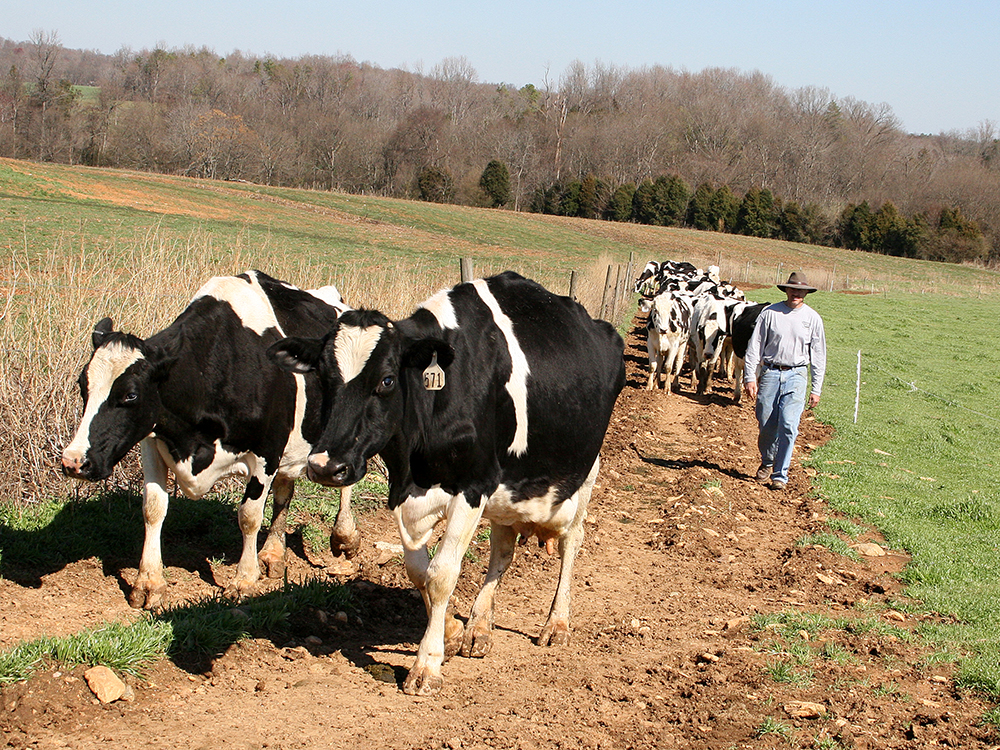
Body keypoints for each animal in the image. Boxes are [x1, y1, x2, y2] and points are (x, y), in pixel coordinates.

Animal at [59, 270, 360, 612]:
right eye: (82, 385)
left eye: (130, 395)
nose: (73, 461)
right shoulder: (152, 441)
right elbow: (153, 508)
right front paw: (149, 583)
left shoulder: (267, 450)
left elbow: (249, 515)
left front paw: (244, 581)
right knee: (285, 490)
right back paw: (272, 553)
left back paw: (344, 536)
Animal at [270, 272, 620, 700]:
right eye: (323, 376)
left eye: (387, 379)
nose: (325, 466)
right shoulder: (408, 491)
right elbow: (419, 571)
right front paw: (452, 632)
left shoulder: (473, 485)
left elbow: (442, 574)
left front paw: (426, 665)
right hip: (507, 492)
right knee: (503, 549)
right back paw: (479, 627)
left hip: (585, 471)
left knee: (572, 541)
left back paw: (556, 624)